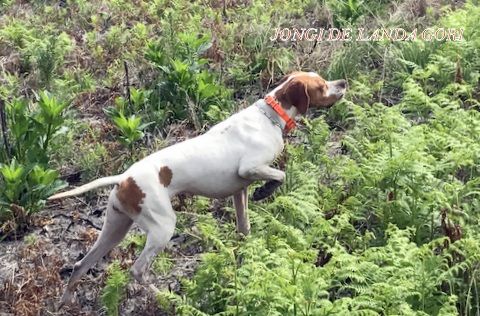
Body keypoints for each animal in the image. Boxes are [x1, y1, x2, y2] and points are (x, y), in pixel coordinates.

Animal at [48, 71, 344, 304]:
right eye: (321, 85)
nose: (343, 82)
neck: (269, 116)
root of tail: (124, 178)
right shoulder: (249, 168)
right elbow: (279, 175)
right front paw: (265, 191)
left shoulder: (239, 191)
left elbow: (244, 227)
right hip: (162, 228)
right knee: (137, 270)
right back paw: (166, 298)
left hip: (114, 229)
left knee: (79, 265)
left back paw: (65, 301)